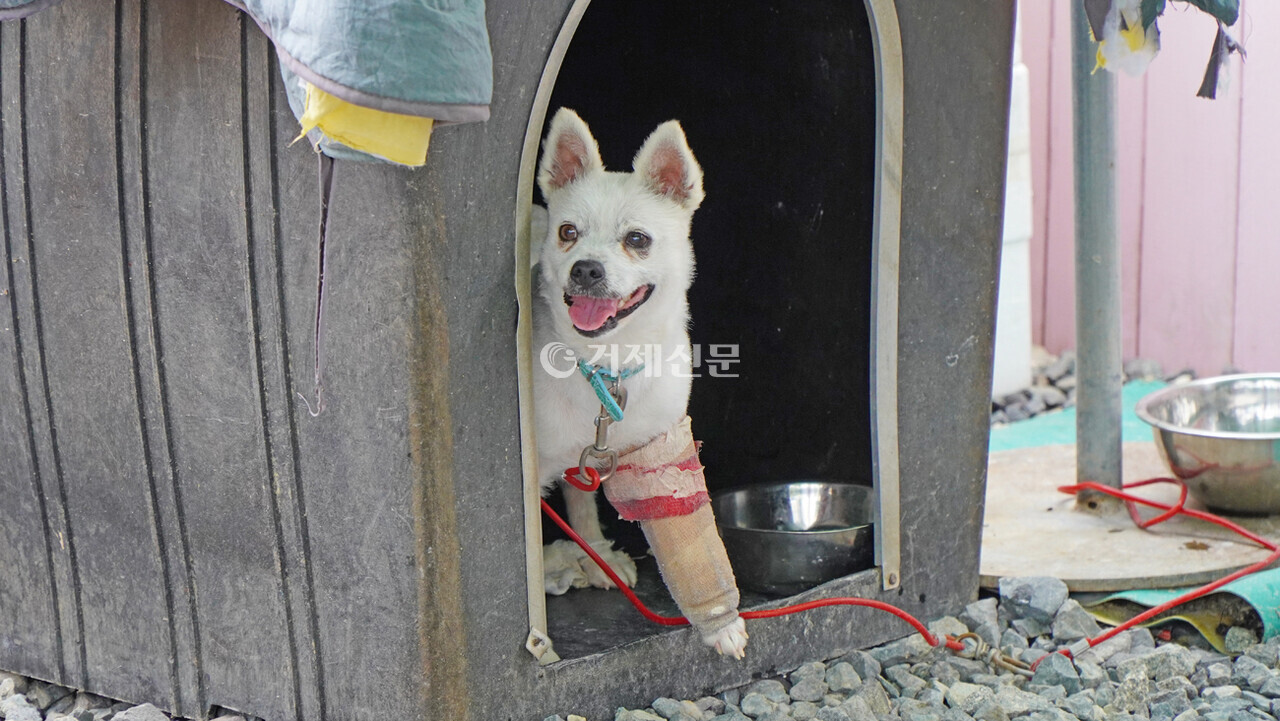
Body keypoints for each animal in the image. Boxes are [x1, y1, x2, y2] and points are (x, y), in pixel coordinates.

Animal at [529, 108, 747, 660]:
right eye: (567, 232)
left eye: (637, 240)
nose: (586, 268)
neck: (606, 364)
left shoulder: (657, 447)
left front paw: (720, 623)